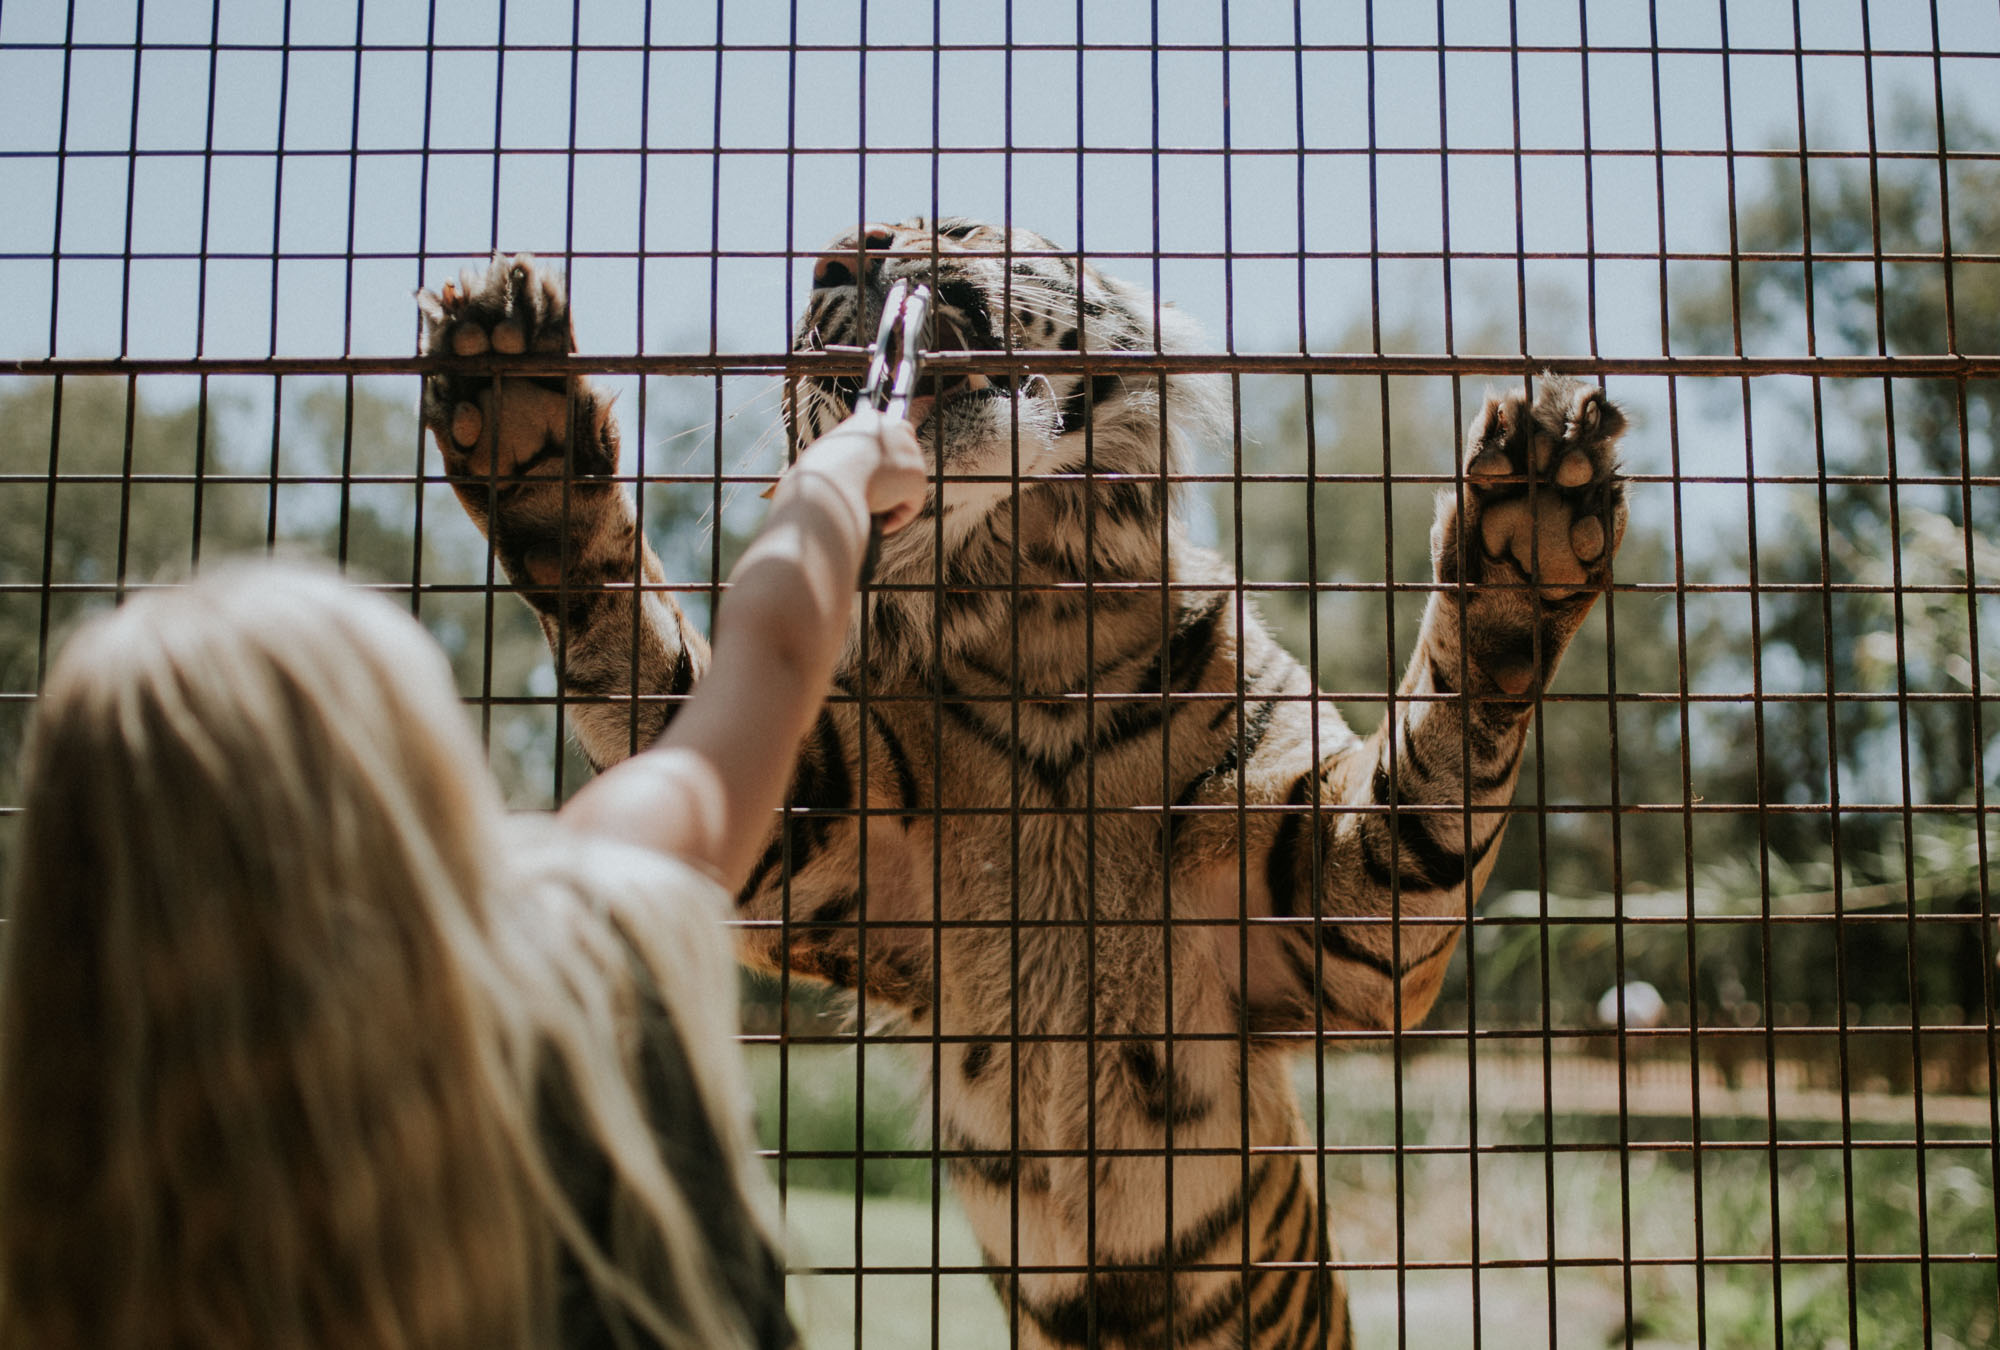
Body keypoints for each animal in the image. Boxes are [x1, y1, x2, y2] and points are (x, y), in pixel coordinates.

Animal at [418, 224, 1624, 1350]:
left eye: (954, 229)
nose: (839, 256)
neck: (1034, 612)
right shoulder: (809, 839)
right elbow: (640, 654)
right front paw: (516, 414)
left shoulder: (1328, 915)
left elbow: (1431, 777)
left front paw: (1528, 531)